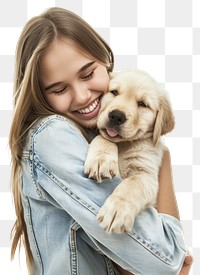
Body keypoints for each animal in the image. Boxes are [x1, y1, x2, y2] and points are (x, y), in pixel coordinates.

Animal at [84, 70, 175, 234]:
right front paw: (101, 161)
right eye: (114, 92)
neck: (124, 145)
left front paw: (117, 210)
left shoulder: (147, 174)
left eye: (143, 104)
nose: (116, 116)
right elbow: (104, 138)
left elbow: (132, 184)